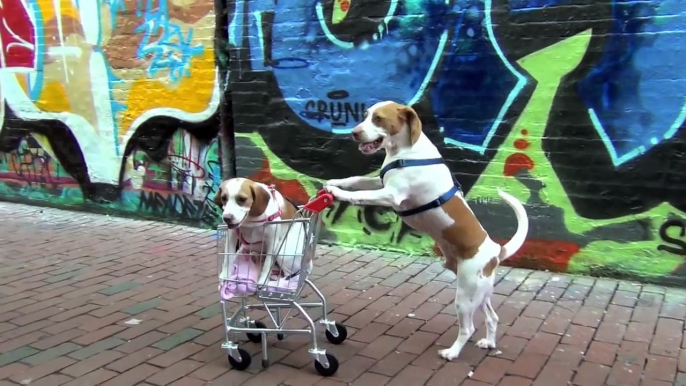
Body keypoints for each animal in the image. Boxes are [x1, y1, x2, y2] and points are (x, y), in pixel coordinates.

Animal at [326, 101, 528, 360]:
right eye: (365, 115)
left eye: (378, 118)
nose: (354, 133)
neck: (404, 152)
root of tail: (495, 250)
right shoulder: (380, 182)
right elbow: (356, 180)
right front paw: (335, 182)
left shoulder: (391, 194)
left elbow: (360, 195)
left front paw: (338, 193)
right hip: (479, 293)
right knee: (492, 318)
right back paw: (489, 343)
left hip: (465, 296)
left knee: (468, 328)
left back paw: (452, 353)